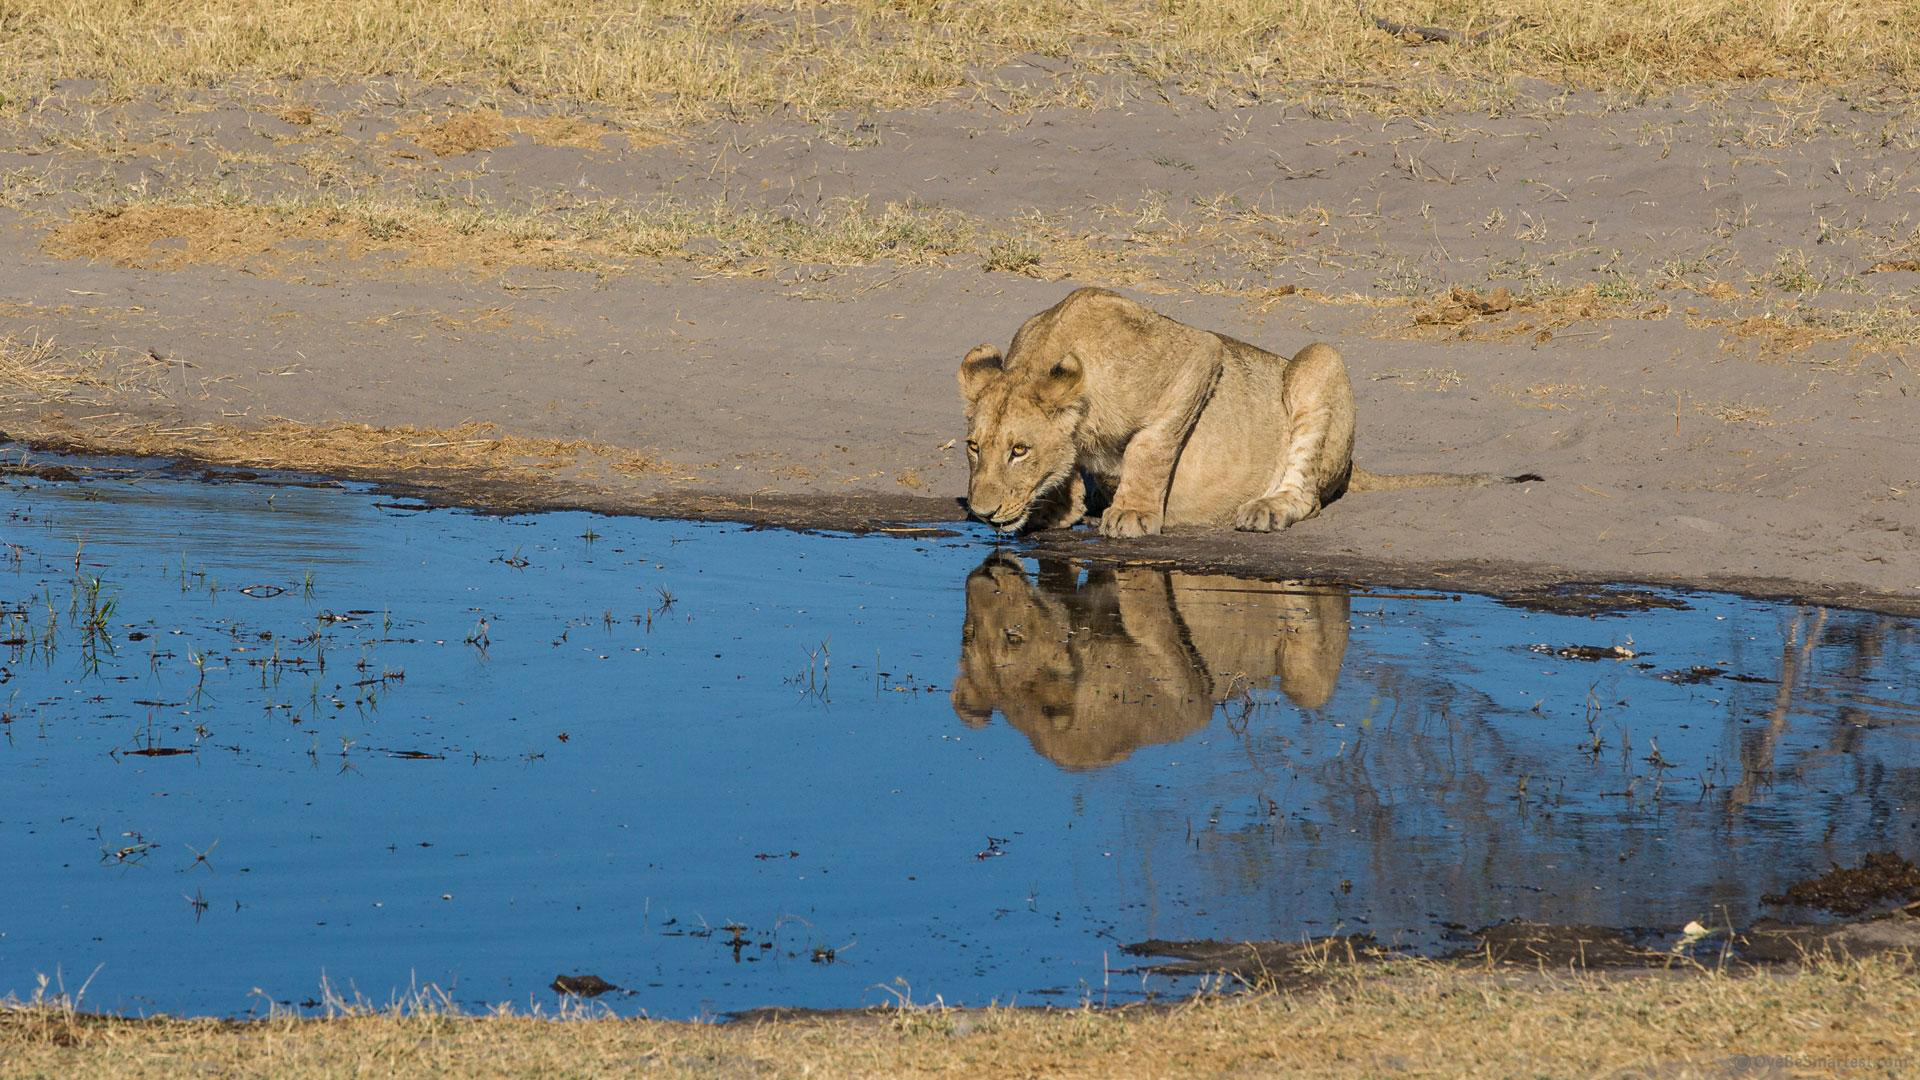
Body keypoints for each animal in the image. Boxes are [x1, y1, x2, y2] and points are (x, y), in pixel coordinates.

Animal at [960, 286, 1543, 538]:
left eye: (1019, 450)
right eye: (973, 447)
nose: (981, 513)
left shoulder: (1198, 354)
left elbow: (1151, 448)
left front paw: (1131, 514)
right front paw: (1062, 507)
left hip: (1319, 360)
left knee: (1308, 496)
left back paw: (1267, 510)